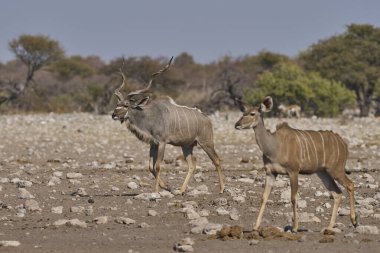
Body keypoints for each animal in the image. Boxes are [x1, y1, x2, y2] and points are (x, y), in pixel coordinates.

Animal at [113, 57, 226, 194]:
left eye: (126, 105)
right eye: (117, 104)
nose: (113, 115)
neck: (150, 115)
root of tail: (206, 118)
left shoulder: (162, 142)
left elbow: (157, 166)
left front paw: (156, 191)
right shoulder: (153, 144)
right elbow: (150, 167)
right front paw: (167, 187)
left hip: (206, 143)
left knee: (217, 161)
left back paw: (222, 189)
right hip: (187, 146)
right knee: (192, 165)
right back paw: (181, 190)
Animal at [235, 98, 356, 232]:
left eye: (252, 114)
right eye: (243, 112)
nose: (237, 125)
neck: (275, 146)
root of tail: (344, 144)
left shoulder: (293, 171)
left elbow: (293, 198)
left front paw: (295, 227)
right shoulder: (271, 172)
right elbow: (264, 197)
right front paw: (255, 227)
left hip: (336, 170)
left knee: (350, 185)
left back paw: (354, 221)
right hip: (323, 173)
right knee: (337, 193)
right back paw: (329, 227)